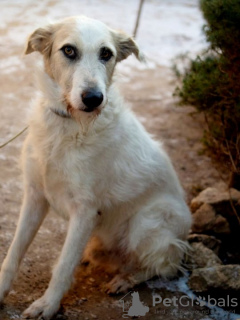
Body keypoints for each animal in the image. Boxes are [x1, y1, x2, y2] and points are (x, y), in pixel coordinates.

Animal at [0, 16, 191, 318]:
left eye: (106, 54)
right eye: (68, 50)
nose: (93, 98)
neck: (67, 125)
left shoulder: (85, 211)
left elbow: (63, 266)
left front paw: (47, 305)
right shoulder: (35, 195)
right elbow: (14, 253)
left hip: (146, 223)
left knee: (166, 266)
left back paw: (126, 278)